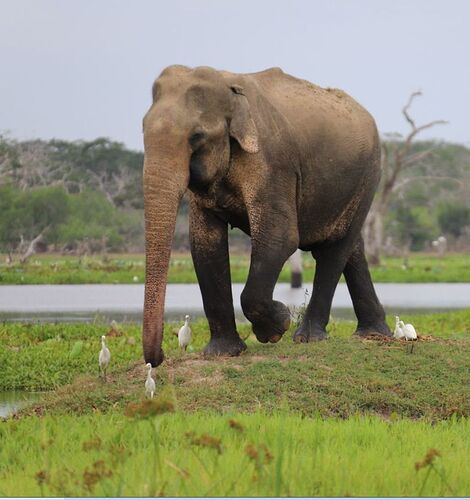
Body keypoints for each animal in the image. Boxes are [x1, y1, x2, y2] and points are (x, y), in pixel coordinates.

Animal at [142, 64, 390, 366]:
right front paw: (224, 353)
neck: (227, 85)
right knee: (351, 247)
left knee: (335, 248)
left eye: (197, 136)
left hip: (369, 175)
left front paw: (276, 326)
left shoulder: (272, 162)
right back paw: (374, 334)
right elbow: (205, 246)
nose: (159, 357)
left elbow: (280, 236)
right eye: (142, 130)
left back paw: (308, 337)